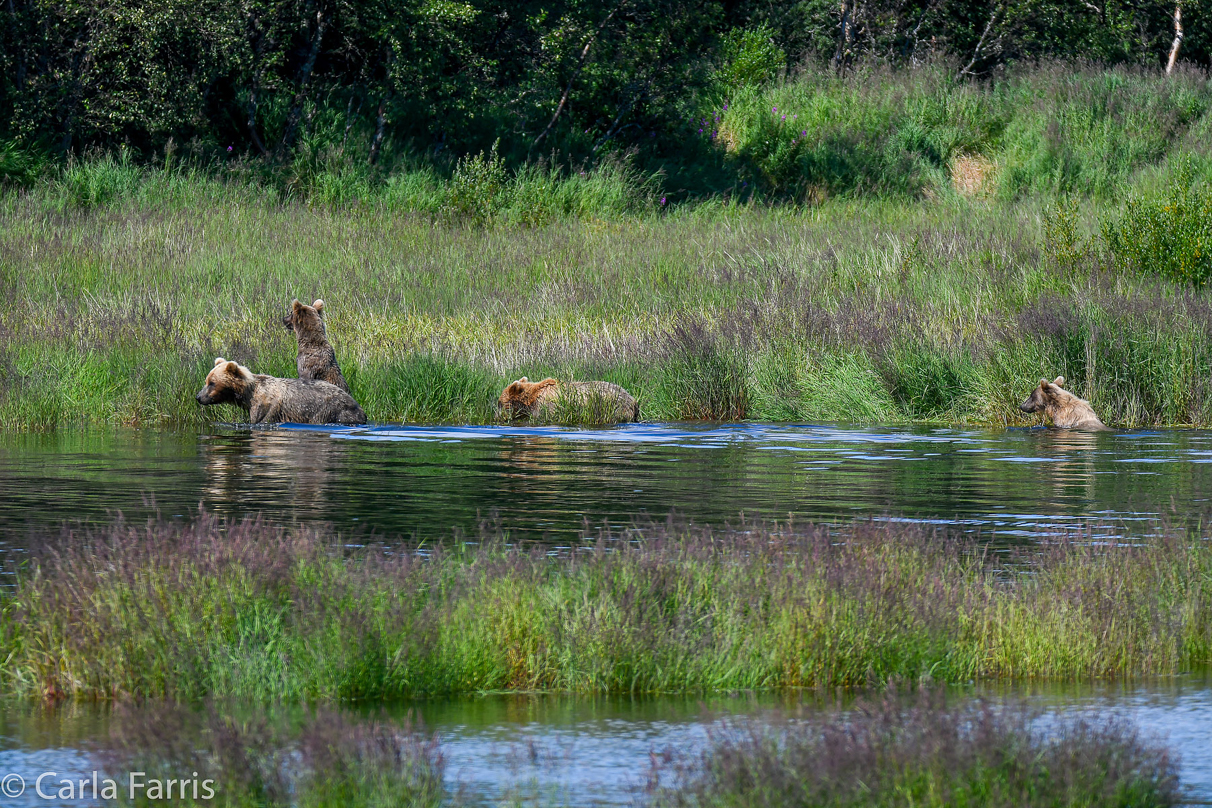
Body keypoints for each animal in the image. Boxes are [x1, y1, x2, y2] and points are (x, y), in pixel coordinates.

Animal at [196, 358, 366, 426]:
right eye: (206, 380)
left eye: (212, 383)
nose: (198, 397)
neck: (248, 394)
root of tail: (360, 408)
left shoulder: (265, 406)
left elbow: (260, 420)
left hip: (330, 410)